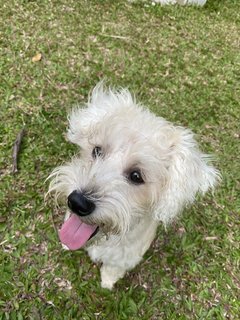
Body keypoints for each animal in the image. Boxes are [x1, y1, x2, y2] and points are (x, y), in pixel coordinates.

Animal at [48, 83, 219, 290]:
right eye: (97, 150)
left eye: (136, 176)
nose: (77, 202)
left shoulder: (124, 259)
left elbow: (112, 269)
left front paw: (107, 282)